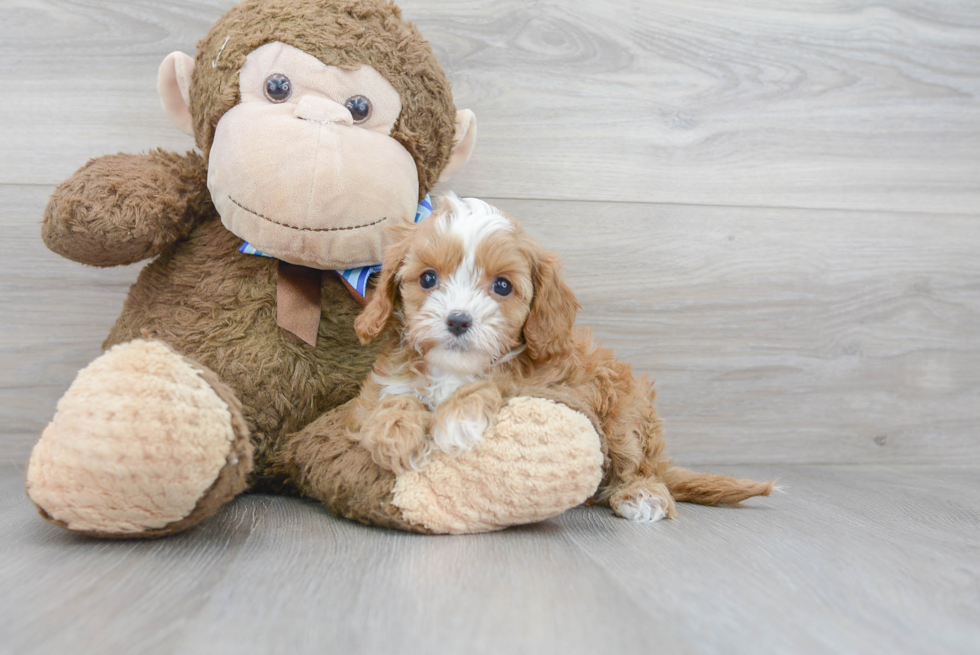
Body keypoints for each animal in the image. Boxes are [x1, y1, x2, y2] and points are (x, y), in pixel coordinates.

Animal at [346, 195, 772, 524]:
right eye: (428, 279)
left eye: (503, 285)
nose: (458, 320)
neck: (453, 369)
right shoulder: (383, 386)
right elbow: (393, 397)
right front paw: (395, 432)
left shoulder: (553, 389)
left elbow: (498, 382)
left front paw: (457, 419)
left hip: (625, 412)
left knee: (637, 464)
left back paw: (642, 495)